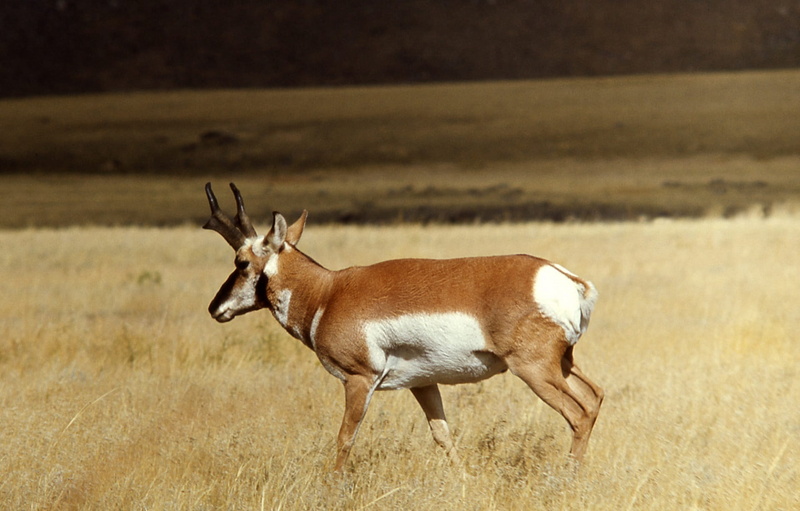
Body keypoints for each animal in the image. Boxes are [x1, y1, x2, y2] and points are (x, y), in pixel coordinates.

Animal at [202, 182, 604, 472]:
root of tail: (565, 278)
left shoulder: (359, 381)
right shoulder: (423, 383)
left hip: (533, 370)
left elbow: (345, 438)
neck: (328, 292)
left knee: (579, 413)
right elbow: (442, 435)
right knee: (596, 396)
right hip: (563, 364)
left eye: (241, 262)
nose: (214, 308)